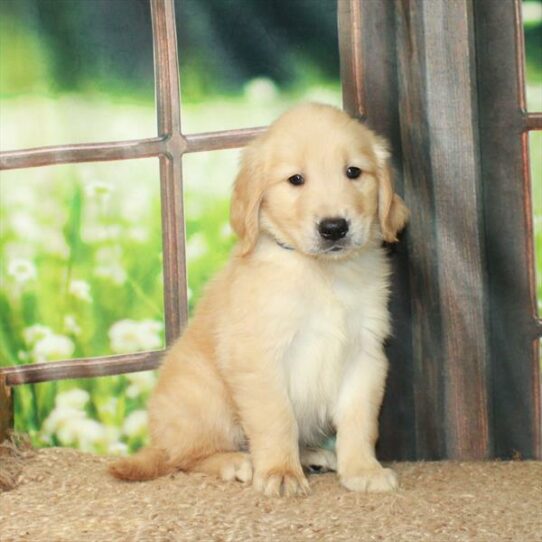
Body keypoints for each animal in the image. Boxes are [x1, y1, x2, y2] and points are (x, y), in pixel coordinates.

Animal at [109, 102, 408, 498]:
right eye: (295, 179)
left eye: (353, 172)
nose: (334, 228)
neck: (321, 273)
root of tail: (156, 440)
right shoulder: (259, 357)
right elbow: (277, 419)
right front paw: (280, 472)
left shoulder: (365, 354)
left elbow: (360, 420)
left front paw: (362, 469)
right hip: (206, 396)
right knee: (184, 456)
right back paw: (237, 462)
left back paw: (312, 455)